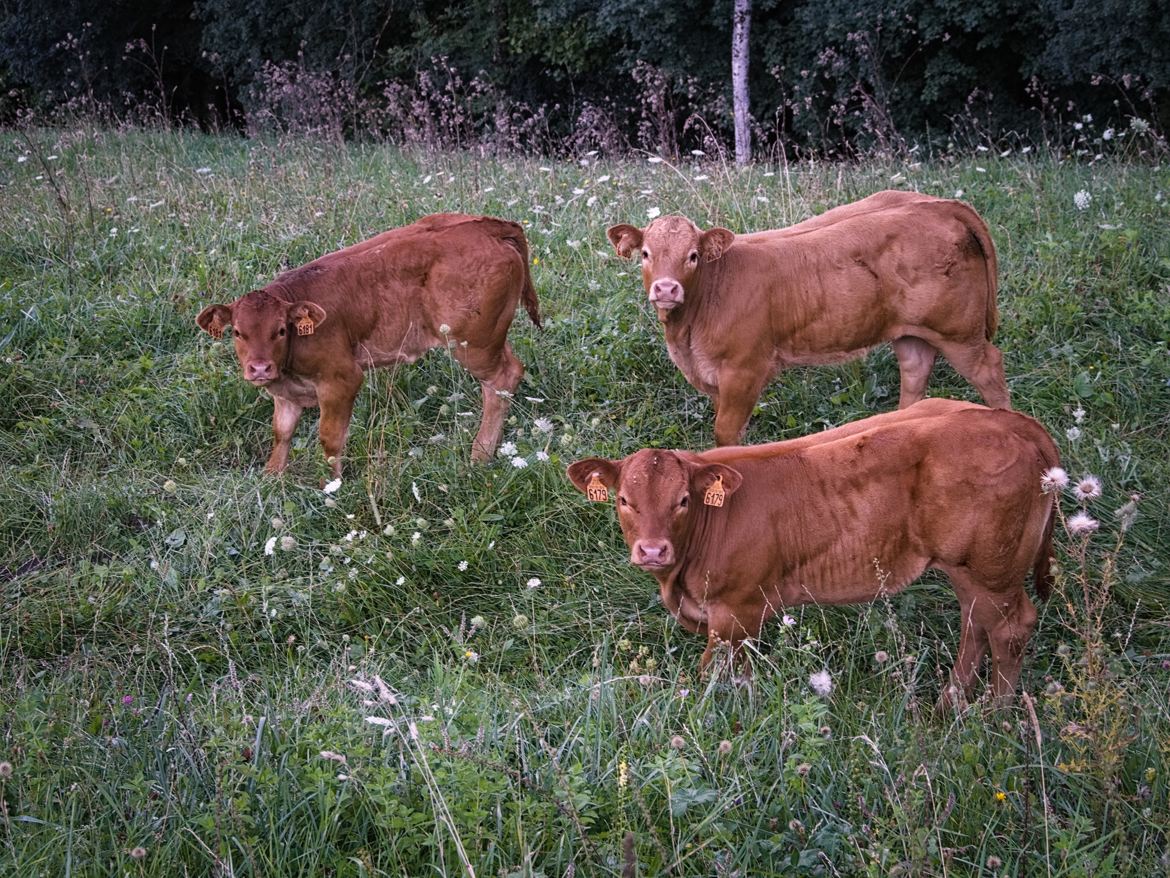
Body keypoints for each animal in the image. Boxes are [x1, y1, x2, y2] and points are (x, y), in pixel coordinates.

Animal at [197, 213, 542, 477]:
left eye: (280, 330)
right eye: (237, 332)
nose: (259, 368)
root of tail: (486, 225)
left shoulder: (342, 379)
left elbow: (329, 438)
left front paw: (330, 486)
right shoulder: (286, 392)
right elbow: (281, 433)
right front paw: (271, 477)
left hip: (474, 342)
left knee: (503, 379)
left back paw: (479, 455)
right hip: (488, 338)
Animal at [568, 400, 1062, 707]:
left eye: (683, 501)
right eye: (624, 501)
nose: (652, 550)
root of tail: (1008, 421)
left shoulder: (737, 611)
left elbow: (713, 672)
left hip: (991, 570)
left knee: (1010, 629)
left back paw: (991, 717)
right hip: (969, 570)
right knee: (975, 624)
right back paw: (949, 708)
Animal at [608, 187, 1010, 447]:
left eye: (692, 256)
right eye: (646, 253)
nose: (666, 289)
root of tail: (937, 205)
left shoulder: (744, 369)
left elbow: (726, 433)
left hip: (958, 331)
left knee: (989, 369)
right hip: (911, 331)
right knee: (915, 371)